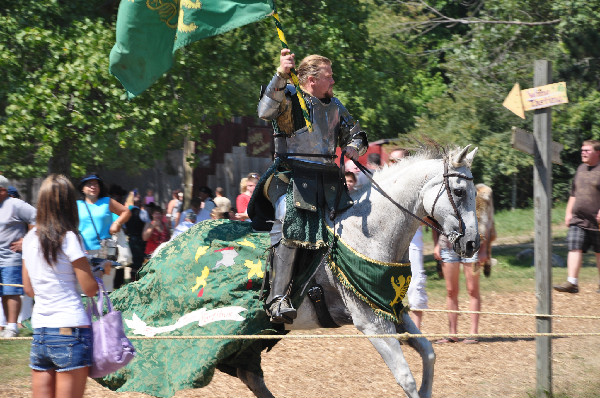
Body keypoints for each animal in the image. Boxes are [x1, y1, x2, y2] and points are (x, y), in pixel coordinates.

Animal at [233, 145, 478, 398]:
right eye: (459, 192)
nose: (472, 244)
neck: (368, 238)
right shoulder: (372, 323)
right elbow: (405, 377)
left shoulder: (392, 311)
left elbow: (429, 353)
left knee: (250, 375)